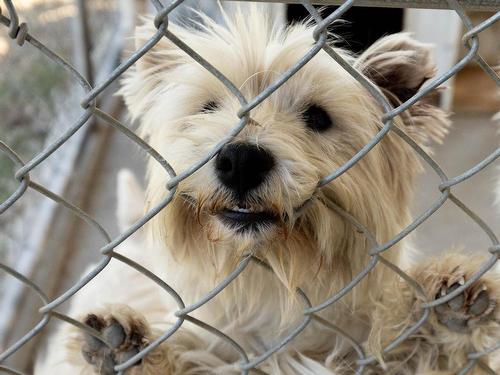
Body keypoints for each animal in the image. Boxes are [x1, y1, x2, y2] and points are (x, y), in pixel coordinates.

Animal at [38, 6, 500, 375]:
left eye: (318, 117)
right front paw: (127, 348)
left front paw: (444, 305)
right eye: (208, 108)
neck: (270, 287)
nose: (241, 161)